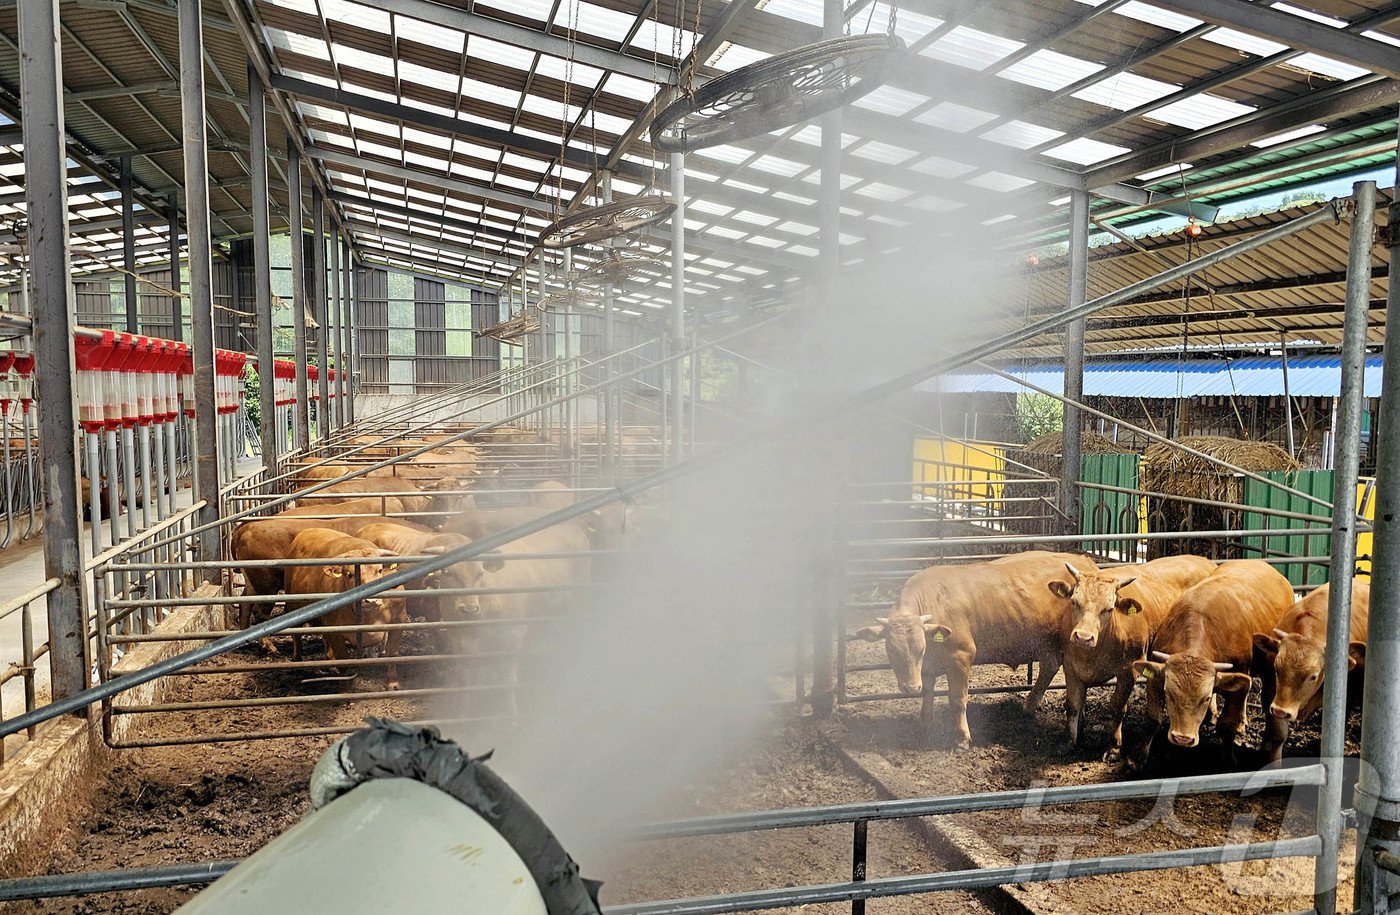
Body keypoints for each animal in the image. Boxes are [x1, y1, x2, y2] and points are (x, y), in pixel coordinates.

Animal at [281, 531, 408, 688]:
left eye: (379, 570)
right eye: (349, 575)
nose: (371, 600)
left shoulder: (399, 619)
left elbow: (392, 652)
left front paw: (392, 681)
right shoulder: (334, 628)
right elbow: (343, 658)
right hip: (293, 605)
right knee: (297, 635)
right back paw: (297, 659)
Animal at [845, 551, 1097, 755]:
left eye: (920, 648)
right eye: (891, 649)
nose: (909, 688)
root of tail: (1085, 561)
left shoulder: (961, 655)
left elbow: (957, 700)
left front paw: (962, 739)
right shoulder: (928, 665)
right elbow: (928, 690)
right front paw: (926, 720)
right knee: (1050, 665)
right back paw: (1030, 705)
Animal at [1052, 556, 1220, 761]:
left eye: (1109, 609)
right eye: (1074, 602)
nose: (1083, 637)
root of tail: (1204, 560)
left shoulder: (1128, 670)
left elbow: (1117, 706)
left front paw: (1114, 747)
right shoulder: (1070, 665)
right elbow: (1073, 704)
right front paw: (1069, 742)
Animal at [1131, 559, 1293, 766]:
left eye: (1205, 698)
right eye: (1169, 694)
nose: (1182, 738)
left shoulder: (1238, 680)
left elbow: (1227, 725)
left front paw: (1228, 758)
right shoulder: (1156, 678)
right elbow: (1153, 719)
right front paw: (1139, 758)